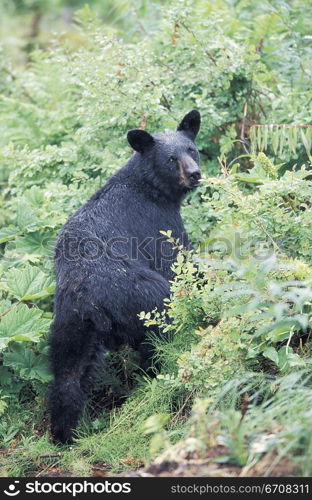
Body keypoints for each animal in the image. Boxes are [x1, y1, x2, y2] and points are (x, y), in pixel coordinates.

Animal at [48, 108, 200, 442]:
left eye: (192, 149)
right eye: (171, 158)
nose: (195, 173)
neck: (150, 187)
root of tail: (90, 300)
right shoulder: (157, 223)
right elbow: (179, 262)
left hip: (70, 323)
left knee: (68, 372)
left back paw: (64, 433)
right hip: (143, 296)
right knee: (158, 334)